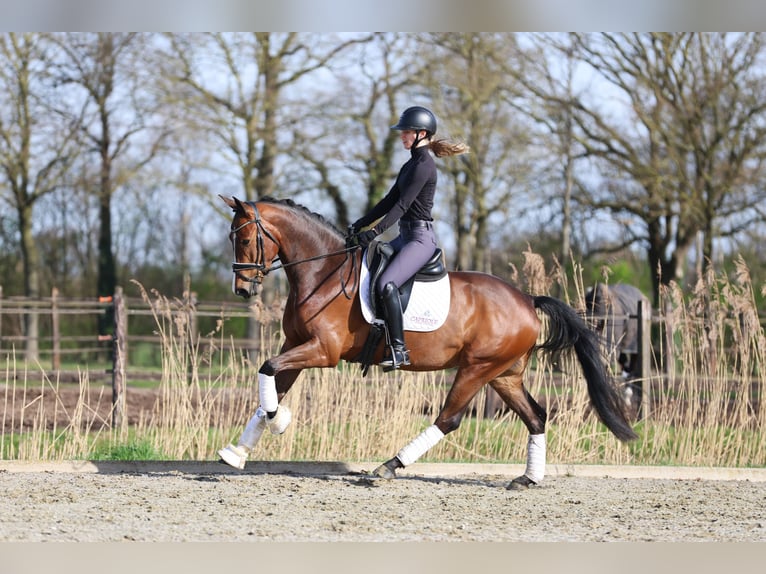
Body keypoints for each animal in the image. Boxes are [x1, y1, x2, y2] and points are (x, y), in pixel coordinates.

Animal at [217, 196, 637, 489]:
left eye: (247, 237)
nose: (242, 289)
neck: (324, 271)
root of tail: (526, 300)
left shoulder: (323, 351)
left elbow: (268, 369)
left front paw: (279, 422)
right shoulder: (297, 344)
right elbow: (269, 383)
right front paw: (238, 451)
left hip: (476, 368)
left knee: (448, 419)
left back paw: (389, 466)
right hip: (504, 374)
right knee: (535, 416)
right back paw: (527, 478)